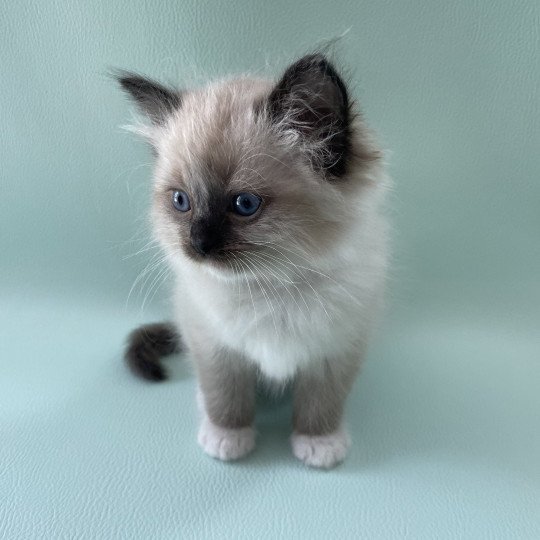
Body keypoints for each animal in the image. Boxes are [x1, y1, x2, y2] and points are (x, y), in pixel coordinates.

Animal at [118, 53, 388, 468]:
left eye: (244, 204)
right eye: (181, 201)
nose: (197, 244)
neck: (272, 286)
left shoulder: (336, 349)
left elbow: (321, 403)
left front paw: (319, 444)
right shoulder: (213, 344)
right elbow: (224, 397)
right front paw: (227, 438)